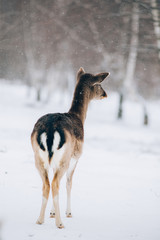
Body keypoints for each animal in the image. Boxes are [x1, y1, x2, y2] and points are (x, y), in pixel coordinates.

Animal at [30, 67, 109, 229]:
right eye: (99, 84)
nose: (105, 94)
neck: (79, 117)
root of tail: (49, 129)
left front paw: (52, 212)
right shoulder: (75, 158)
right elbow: (69, 183)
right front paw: (68, 213)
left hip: (38, 157)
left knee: (47, 184)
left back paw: (40, 219)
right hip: (65, 158)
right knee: (55, 184)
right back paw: (60, 223)